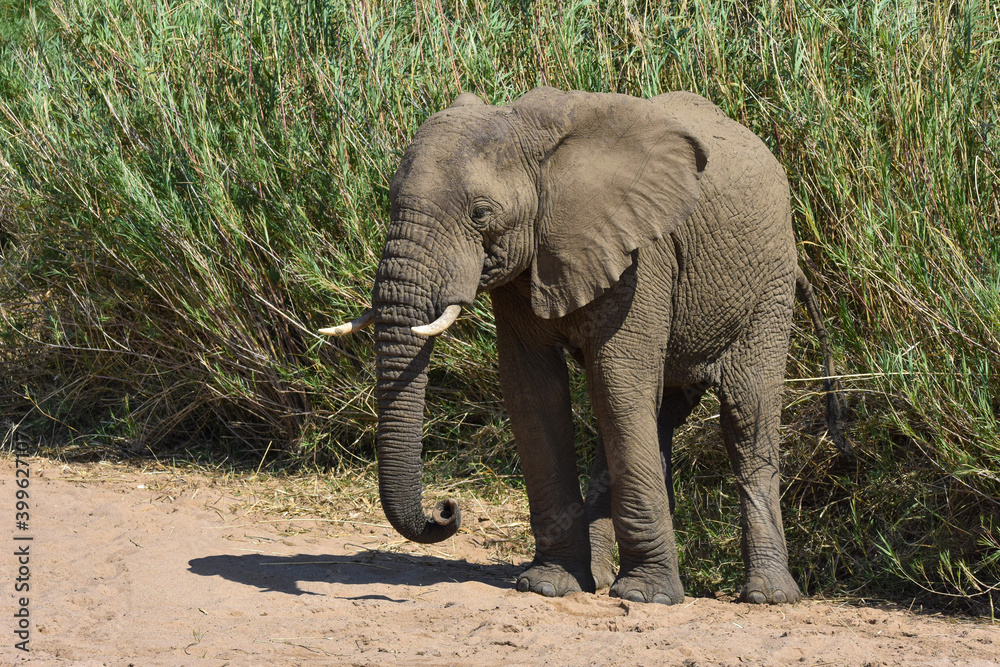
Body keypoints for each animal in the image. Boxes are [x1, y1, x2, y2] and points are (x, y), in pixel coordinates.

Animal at [321, 86, 848, 605]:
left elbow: (616, 382)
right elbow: (532, 393)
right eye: (391, 200)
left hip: (769, 286)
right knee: (652, 414)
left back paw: (768, 596)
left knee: (742, 414)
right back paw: (598, 577)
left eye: (480, 213)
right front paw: (547, 585)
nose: (446, 508)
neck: (526, 132)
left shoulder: (640, 256)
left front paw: (646, 597)